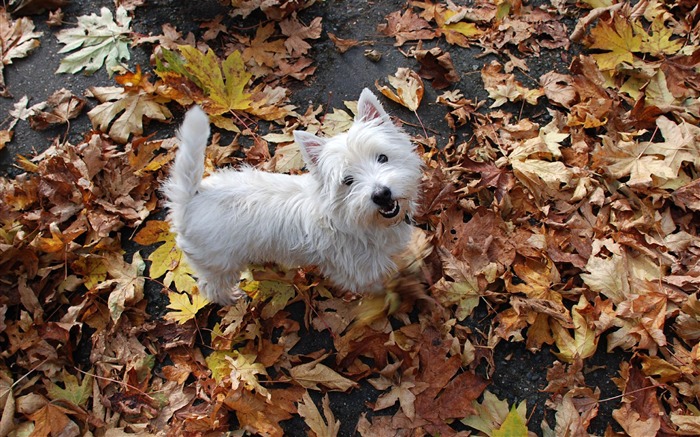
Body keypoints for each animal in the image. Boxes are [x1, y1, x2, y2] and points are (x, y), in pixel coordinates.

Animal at [164, 88, 424, 304]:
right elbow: (376, 285)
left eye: (382, 157)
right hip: (219, 263)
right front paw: (392, 294)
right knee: (211, 286)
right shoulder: (359, 270)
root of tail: (191, 199)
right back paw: (231, 298)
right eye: (347, 181)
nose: (381, 194)